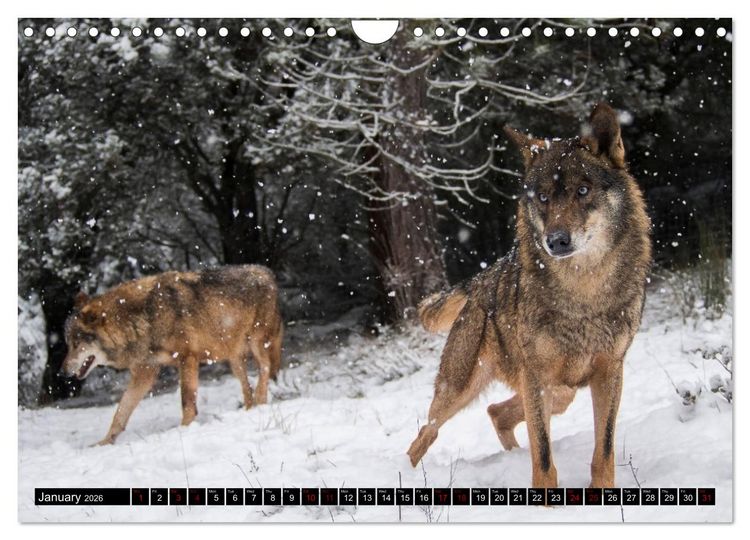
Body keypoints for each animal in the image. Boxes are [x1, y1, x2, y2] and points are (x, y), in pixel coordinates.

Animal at [61, 264, 283, 445]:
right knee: (247, 386)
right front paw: (104, 442)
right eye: (68, 344)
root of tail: (267, 272)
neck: (144, 318)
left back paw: (261, 400)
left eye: (76, 344)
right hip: (234, 359)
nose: (62, 373)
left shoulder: (187, 358)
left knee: (265, 368)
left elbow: (187, 401)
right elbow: (120, 411)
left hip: (257, 343)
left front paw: (184, 429)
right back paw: (250, 408)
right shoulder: (145, 373)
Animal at [407, 103, 651, 488]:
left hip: (560, 391)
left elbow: (605, 450)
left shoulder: (611, 371)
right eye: (543, 197)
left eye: (583, 190)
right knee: (425, 434)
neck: (583, 291)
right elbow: (545, 457)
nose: (557, 241)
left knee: (496, 412)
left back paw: (513, 456)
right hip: (461, 389)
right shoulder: (536, 376)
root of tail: (481, 279)